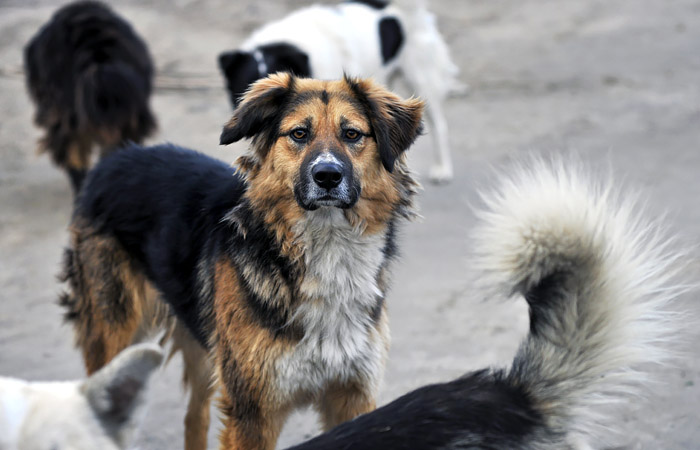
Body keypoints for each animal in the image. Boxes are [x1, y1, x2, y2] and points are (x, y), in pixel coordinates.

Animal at [61, 74, 422, 450]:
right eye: (299, 134)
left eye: (352, 134)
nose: (327, 176)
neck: (327, 245)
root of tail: (116, 158)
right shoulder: (252, 412)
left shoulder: (353, 396)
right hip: (115, 332)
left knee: (195, 416)